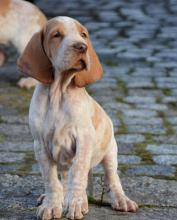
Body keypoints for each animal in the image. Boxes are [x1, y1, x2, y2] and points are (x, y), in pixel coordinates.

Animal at [17, 16, 138, 219]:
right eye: (56, 35)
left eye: (83, 35)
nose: (82, 47)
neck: (59, 92)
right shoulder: (40, 145)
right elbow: (51, 181)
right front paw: (52, 205)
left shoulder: (84, 139)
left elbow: (79, 174)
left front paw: (75, 204)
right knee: (64, 180)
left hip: (110, 151)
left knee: (111, 178)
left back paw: (120, 200)